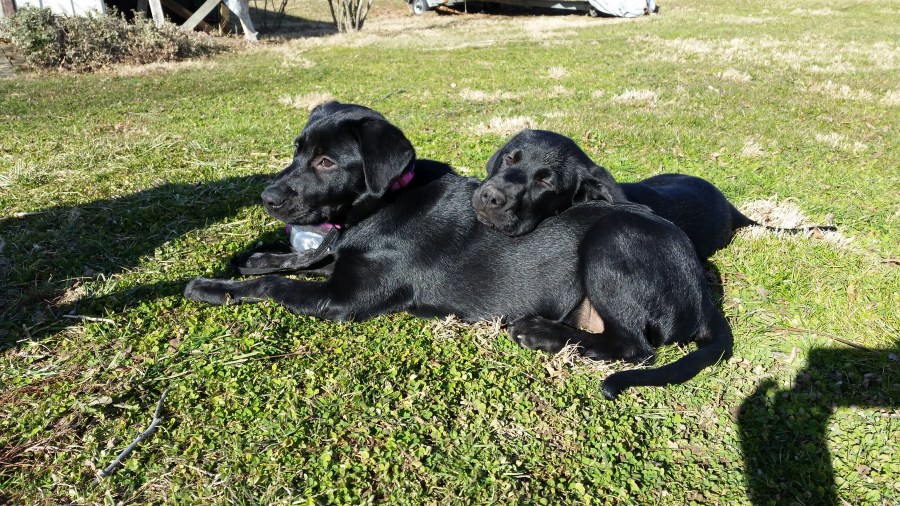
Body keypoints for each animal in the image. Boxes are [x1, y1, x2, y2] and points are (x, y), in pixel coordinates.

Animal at [184, 101, 733, 399]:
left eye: (325, 161)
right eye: (297, 151)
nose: (268, 198)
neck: (387, 199)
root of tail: (703, 293)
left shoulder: (343, 300)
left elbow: (275, 284)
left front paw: (210, 286)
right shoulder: (339, 261)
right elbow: (303, 258)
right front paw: (256, 255)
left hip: (611, 240)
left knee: (634, 347)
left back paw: (540, 333)